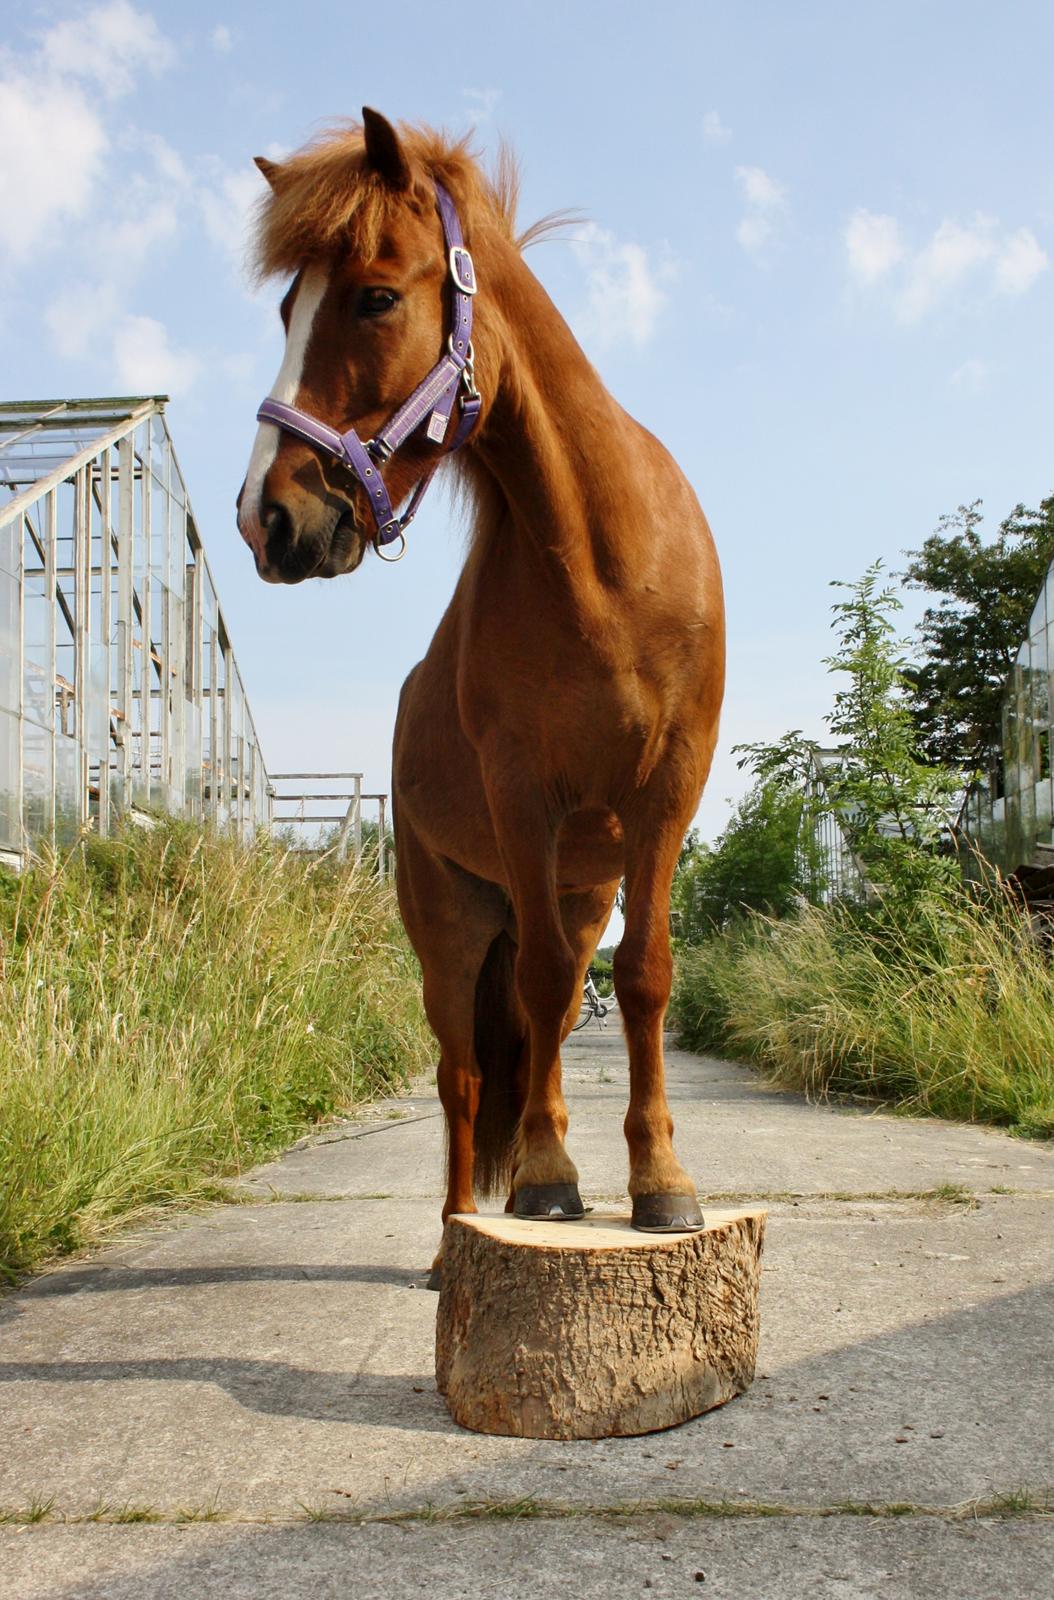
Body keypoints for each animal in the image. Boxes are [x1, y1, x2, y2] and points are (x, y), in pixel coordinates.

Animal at [236, 109, 726, 1286]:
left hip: (569, 888)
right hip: (449, 921)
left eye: (373, 296)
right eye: (285, 308)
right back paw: (455, 1237)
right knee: (463, 1075)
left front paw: (659, 1181)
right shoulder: (521, 796)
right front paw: (549, 1177)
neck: (605, 565)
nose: (266, 518)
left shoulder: (665, 797)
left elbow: (641, 976)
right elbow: (545, 992)